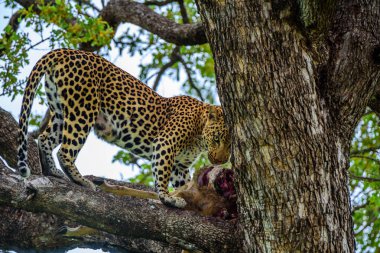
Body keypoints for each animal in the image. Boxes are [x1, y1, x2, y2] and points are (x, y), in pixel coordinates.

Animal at [17, 48, 232, 208]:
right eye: (217, 138)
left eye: (231, 146)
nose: (220, 161)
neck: (199, 134)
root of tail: (65, 51)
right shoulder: (165, 144)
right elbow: (162, 174)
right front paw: (167, 197)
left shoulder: (180, 165)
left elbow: (183, 183)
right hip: (83, 110)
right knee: (65, 151)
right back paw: (81, 180)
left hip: (61, 111)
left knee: (45, 138)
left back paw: (53, 172)